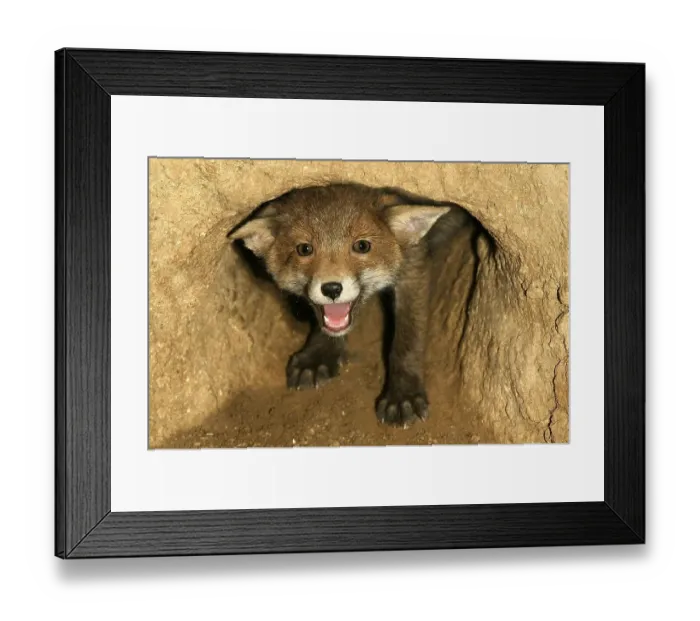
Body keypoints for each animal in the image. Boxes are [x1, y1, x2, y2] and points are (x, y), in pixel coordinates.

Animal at [228, 182, 474, 427]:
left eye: (362, 246)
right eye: (304, 249)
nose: (332, 289)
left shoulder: (413, 267)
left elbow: (407, 339)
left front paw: (403, 394)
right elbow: (324, 327)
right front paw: (319, 355)